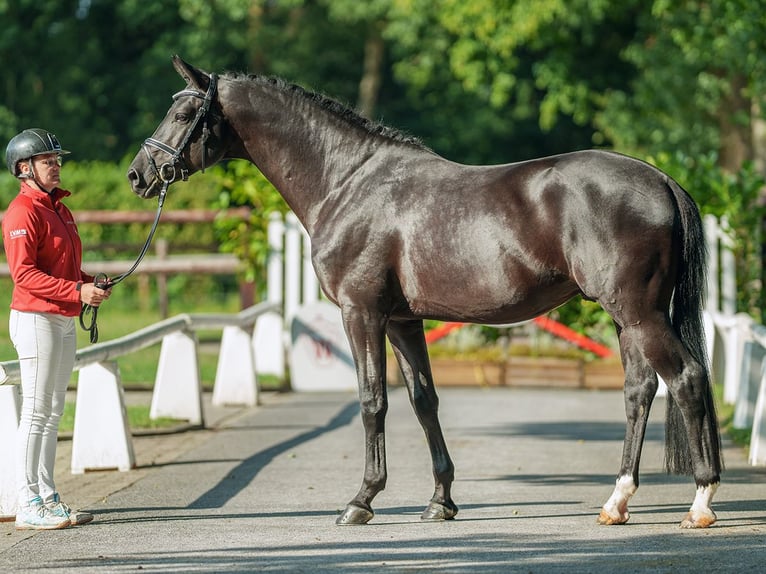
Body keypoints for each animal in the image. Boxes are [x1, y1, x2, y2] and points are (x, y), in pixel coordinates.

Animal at [129, 57, 724, 532]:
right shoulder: (401, 321)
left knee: (687, 379)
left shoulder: (361, 313)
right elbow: (424, 402)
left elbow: (373, 400)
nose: (139, 174)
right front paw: (441, 502)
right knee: (639, 391)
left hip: (640, 314)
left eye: (184, 112)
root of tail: (661, 179)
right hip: (628, 319)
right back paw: (616, 502)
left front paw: (361, 501)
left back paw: (700, 503)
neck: (347, 181)